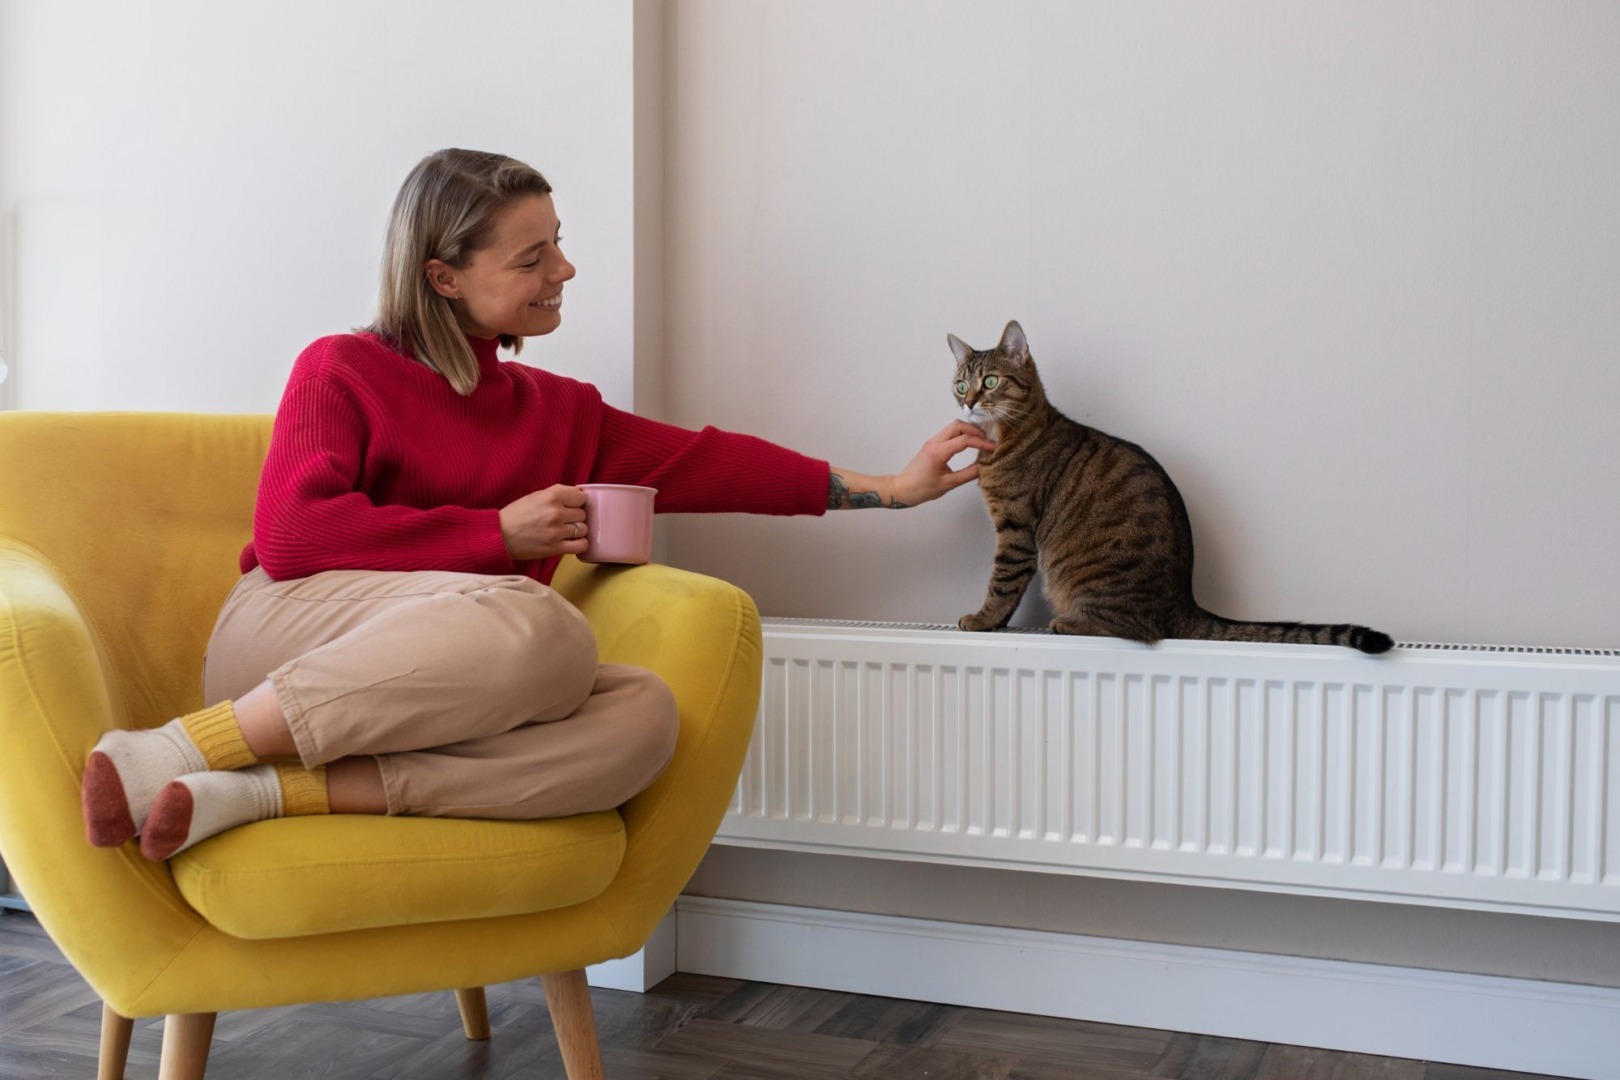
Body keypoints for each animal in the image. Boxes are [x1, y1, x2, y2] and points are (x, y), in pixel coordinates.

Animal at [946, 320, 1393, 654]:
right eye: (960, 385)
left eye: (990, 381)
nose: (968, 403)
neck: (1005, 438)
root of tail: (1183, 600)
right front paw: (995, 622)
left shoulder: (1016, 527)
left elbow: (1003, 583)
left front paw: (982, 619)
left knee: (1140, 629)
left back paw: (1067, 623)